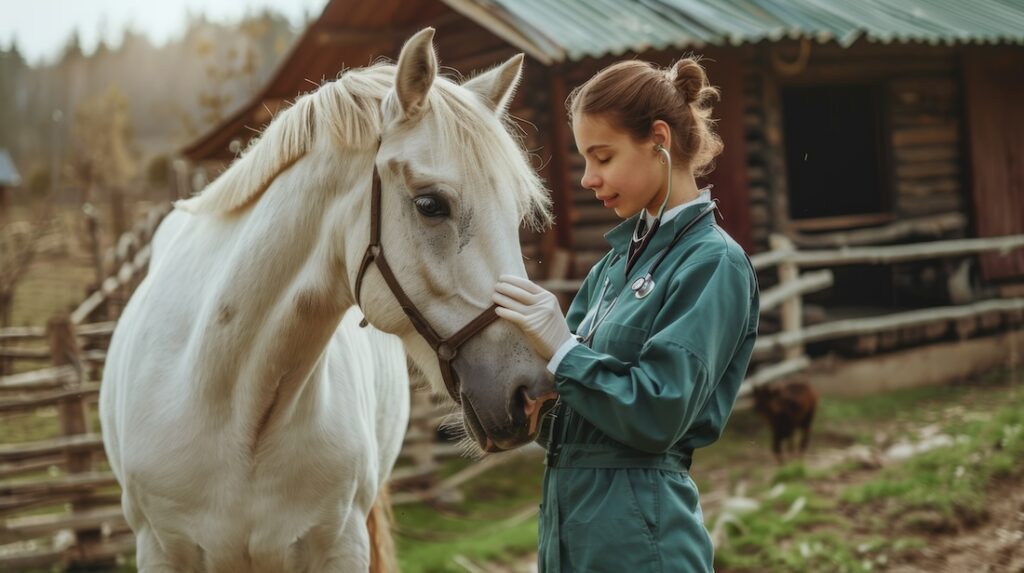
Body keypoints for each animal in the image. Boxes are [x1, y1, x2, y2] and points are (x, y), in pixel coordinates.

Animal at [99, 28, 557, 572]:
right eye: (430, 205)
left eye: (517, 211)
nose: (532, 393)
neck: (236, 411)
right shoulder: (161, 548)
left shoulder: (340, 544)